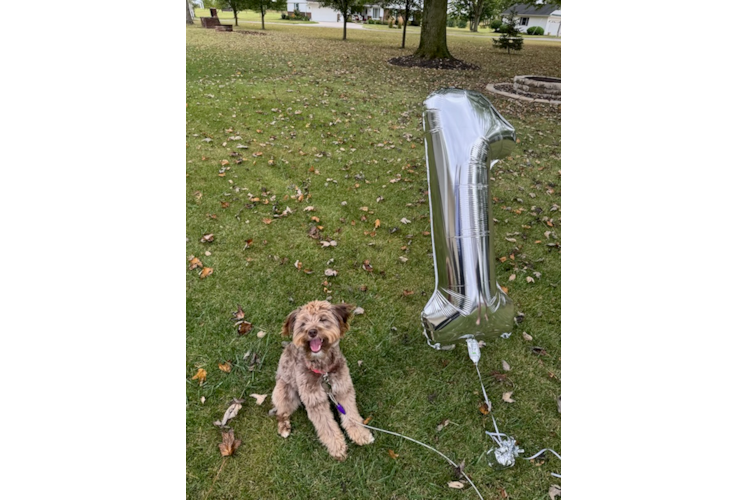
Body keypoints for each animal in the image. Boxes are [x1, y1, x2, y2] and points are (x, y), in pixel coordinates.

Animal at [272, 300, 374, 460]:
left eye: (323, 319)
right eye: (303, 323)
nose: (312, 331)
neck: (323, 370)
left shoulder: (343, 390)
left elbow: (352, 416)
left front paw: (360, 434)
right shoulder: (315, 401)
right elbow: (327, 426)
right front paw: (337, 446)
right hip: (284, 392)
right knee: (281, 412)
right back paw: (284, 427)